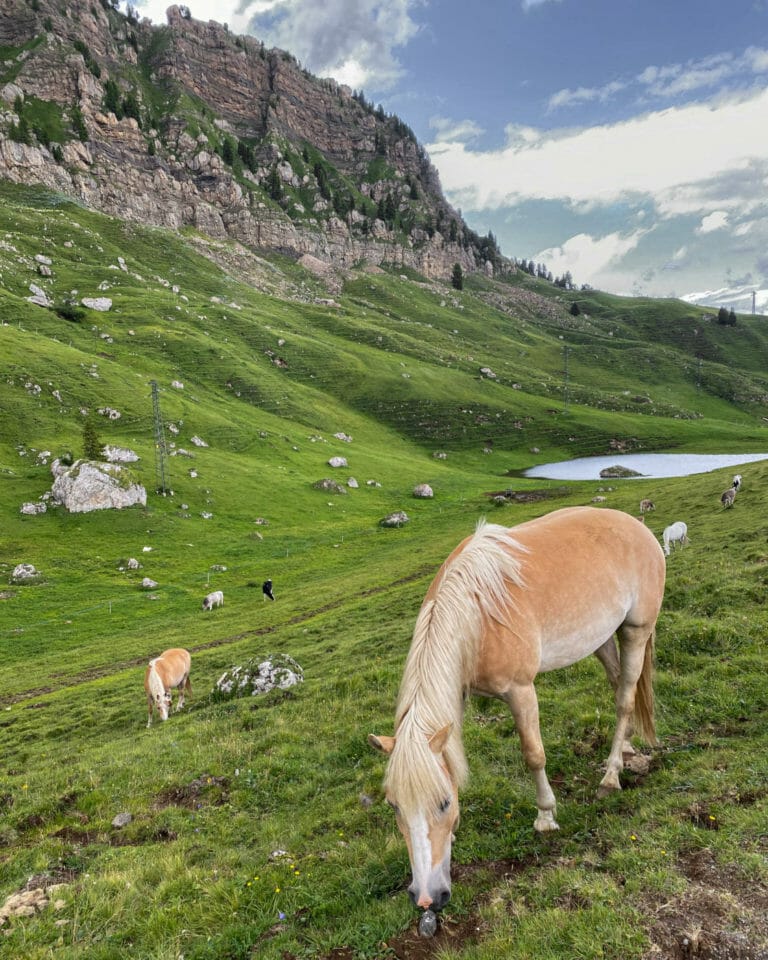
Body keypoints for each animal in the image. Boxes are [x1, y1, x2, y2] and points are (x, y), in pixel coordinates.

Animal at [368, 506, 664, 912]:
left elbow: (534, 754)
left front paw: (546, 816)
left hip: (636, 630)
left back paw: (610, 775)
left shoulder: (521, 691)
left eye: (443, 803)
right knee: (622, 685)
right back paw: (628, 747)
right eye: (394, 806)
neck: (477, 613)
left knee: (624, 700)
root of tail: (638, 526)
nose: (427, 898)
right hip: (601, 638)